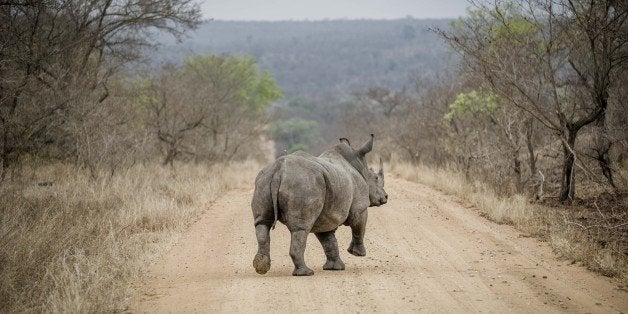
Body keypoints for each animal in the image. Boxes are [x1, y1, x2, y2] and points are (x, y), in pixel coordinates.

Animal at [250, 134, 388, 276]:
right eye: (376, 178)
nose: (385, 197)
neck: (360, 167)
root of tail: (279, 169)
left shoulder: (325, 216)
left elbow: (328, 241)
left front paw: (335, 268)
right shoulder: (360, 207)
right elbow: (359, 227)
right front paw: (357, 253)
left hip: (264, 180)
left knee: (262, 223)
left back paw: (261, 267)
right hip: (304, 183)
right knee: (301, 229)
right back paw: (306, 273)